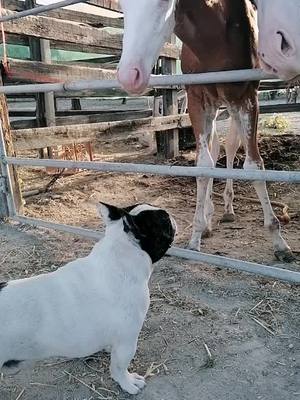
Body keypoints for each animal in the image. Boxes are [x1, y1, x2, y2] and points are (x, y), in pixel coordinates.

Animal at [0, 202, 176, 396]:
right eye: (165, 221)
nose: (172, 216)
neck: (117, 261)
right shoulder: (127, 339)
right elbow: (119, 367)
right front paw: (128, 383)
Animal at [116, 0, 292, 262]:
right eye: (122, 6)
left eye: (163, 2)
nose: (129, 76)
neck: (213, 37)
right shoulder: (197, 99)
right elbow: (203, 165)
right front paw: (197, 234)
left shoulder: (247, 97)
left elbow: (254, 165)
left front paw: (279, 242)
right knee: (216, 147)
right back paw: (211, 215)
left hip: (233, 104)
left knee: (232, 145)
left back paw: (228, 209)